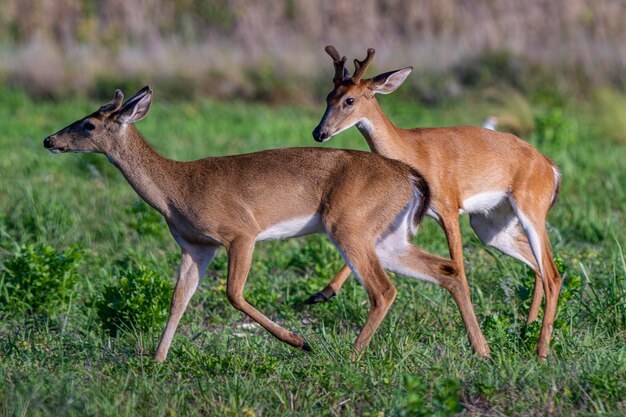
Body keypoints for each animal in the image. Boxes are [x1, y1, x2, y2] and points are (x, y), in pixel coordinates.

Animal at [42, 85, 468, 360]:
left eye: (89, 124)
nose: (49, 140)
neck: (176, 188)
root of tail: (407, 174)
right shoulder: (196, 246)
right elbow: (179, 298)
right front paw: (156, 360)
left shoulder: (240, 232)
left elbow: (233, 293)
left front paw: (299, 341)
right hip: (386, 236)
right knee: (442, 270)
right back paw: (477, 350)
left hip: (349, 226)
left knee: (383, 289)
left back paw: (349, 355)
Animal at [308, 45, 560, 358]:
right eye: (328, 97)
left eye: (350, 99)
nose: (319, 133)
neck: (411, 150)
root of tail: (549, 166)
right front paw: (321, 293)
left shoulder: (449, 210)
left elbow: (459, 269)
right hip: (489, 226)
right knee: (537, 268)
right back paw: (528, 330)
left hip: (530, 211)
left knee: (553, 275)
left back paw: (541, 351)